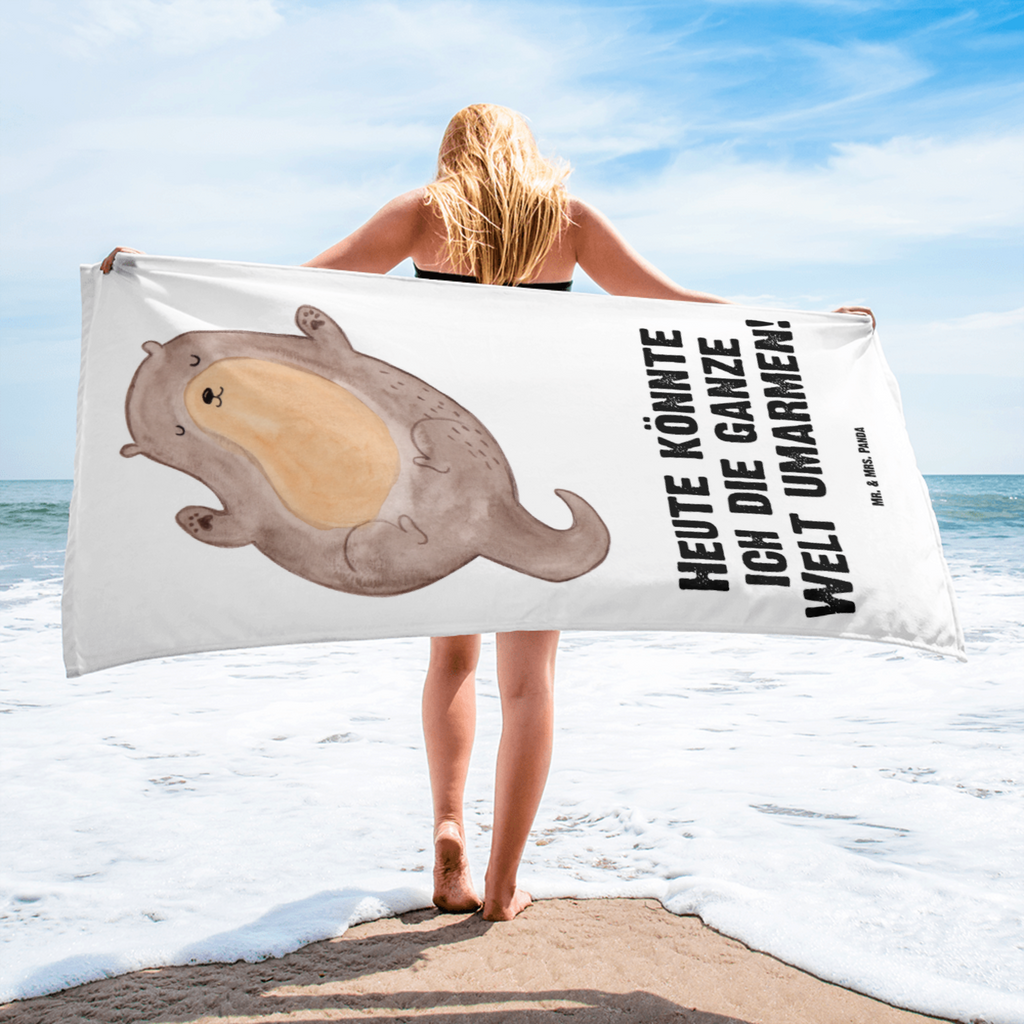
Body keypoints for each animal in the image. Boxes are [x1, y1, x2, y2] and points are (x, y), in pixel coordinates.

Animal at [120, 305, 610, 596]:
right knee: (375, 549)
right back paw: (404, 525)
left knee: (443, 443)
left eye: (195, 360)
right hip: (377, 556)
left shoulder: (339, 357)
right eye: (178, 430)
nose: (209, 394)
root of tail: (485, 524)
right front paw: (196, 518)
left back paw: (430, 455)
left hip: (464, 441)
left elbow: (332, 339)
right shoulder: (248, 508)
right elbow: (238, 527)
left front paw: (310, 315)